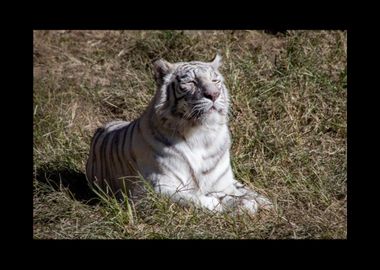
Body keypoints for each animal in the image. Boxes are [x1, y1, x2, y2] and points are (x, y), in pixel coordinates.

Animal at [85, 54, 274, 214]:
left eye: (215, 80)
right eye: (191, 82)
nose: (214, 94)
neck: (202, 134)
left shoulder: (223, 184)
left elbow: (237, 195)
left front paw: (247, 203)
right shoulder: (152, 188)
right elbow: (192, 198)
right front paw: (218, 204)